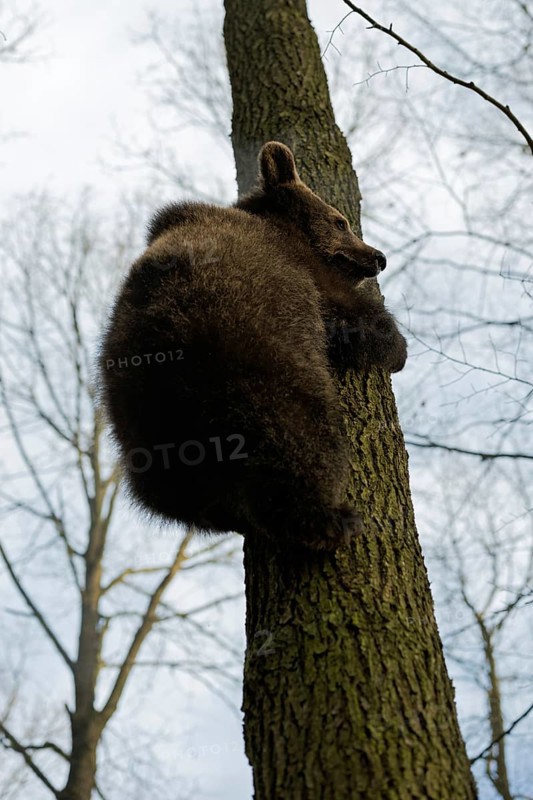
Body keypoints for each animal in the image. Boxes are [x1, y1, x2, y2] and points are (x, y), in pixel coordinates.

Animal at [99, 141, 407, 551]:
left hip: (141, 429)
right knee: (300, 431)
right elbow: (352, 314)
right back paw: (328, 517)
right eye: (340, 221)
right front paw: (397, 347)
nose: (378, 257)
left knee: (177, 495)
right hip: (256, 356)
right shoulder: (305, 273)